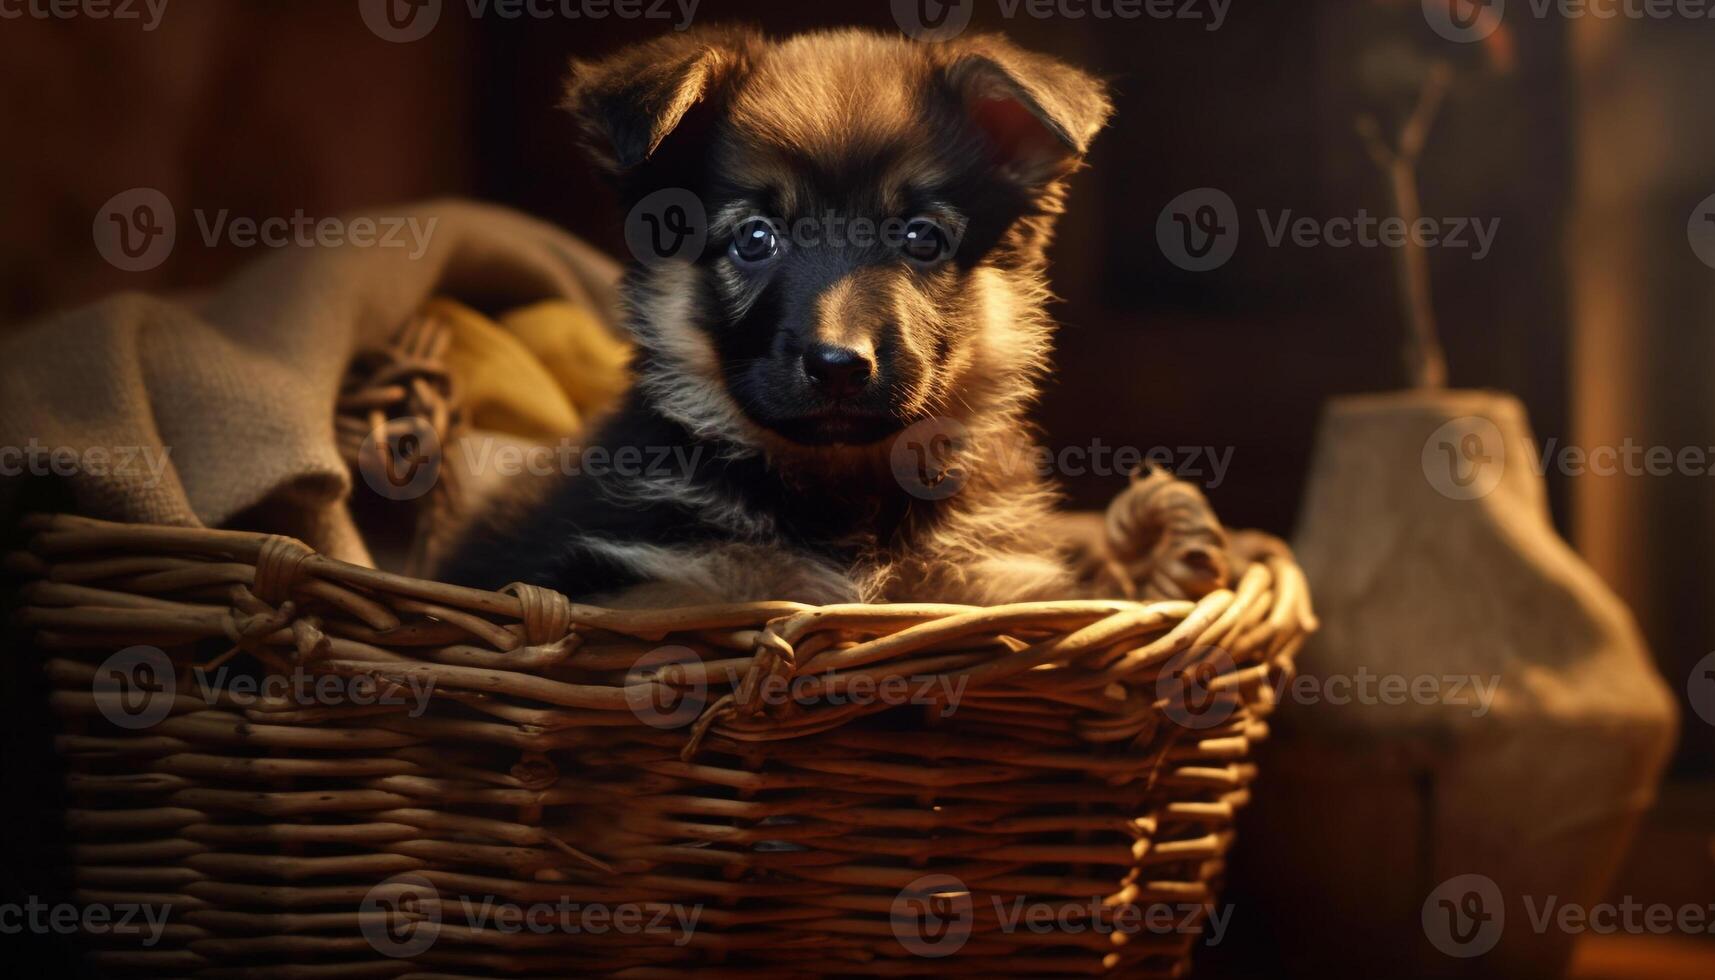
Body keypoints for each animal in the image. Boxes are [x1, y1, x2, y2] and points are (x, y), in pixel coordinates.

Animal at [442, 26, 1111, 610]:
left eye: (923, 238)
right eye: (755, 238)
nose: (839, 366)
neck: (841, 497)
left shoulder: (991, 579)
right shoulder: (658, 576)